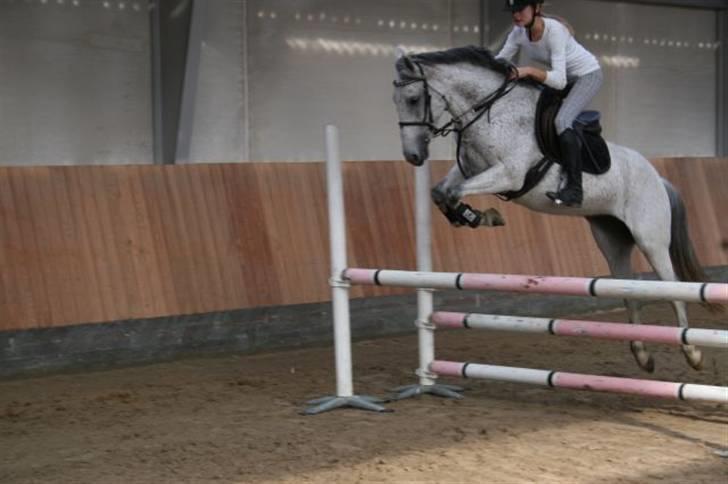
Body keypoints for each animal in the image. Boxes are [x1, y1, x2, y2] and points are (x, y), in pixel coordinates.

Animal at [392, 45, 722, 373]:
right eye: (395, 100)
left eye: (413, 99)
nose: (414, 156)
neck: (492, 113)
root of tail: (658, 179)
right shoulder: (470, 170)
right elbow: (441, 192)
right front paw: (476, 217)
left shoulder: (508, 175)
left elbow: (454, 192)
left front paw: (482, 216)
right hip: (611, 240)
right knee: (630, 292)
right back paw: (642, 355)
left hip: (650, 239)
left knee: (672, 288)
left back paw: (692, 352)